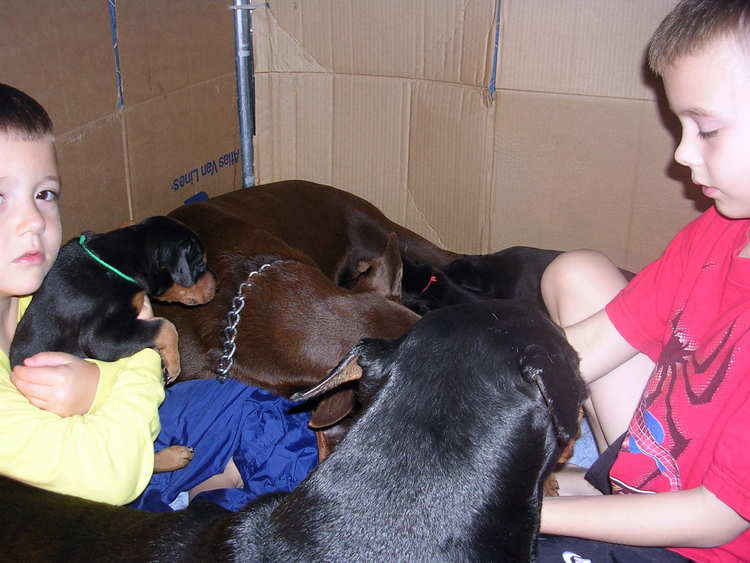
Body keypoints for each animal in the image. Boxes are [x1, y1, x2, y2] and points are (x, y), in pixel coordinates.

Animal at [8, 216, 216, 384]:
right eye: (200, 263)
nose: (216, 283)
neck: (117, 263)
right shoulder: (98, 338)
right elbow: (166, 326)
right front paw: (173, 365)